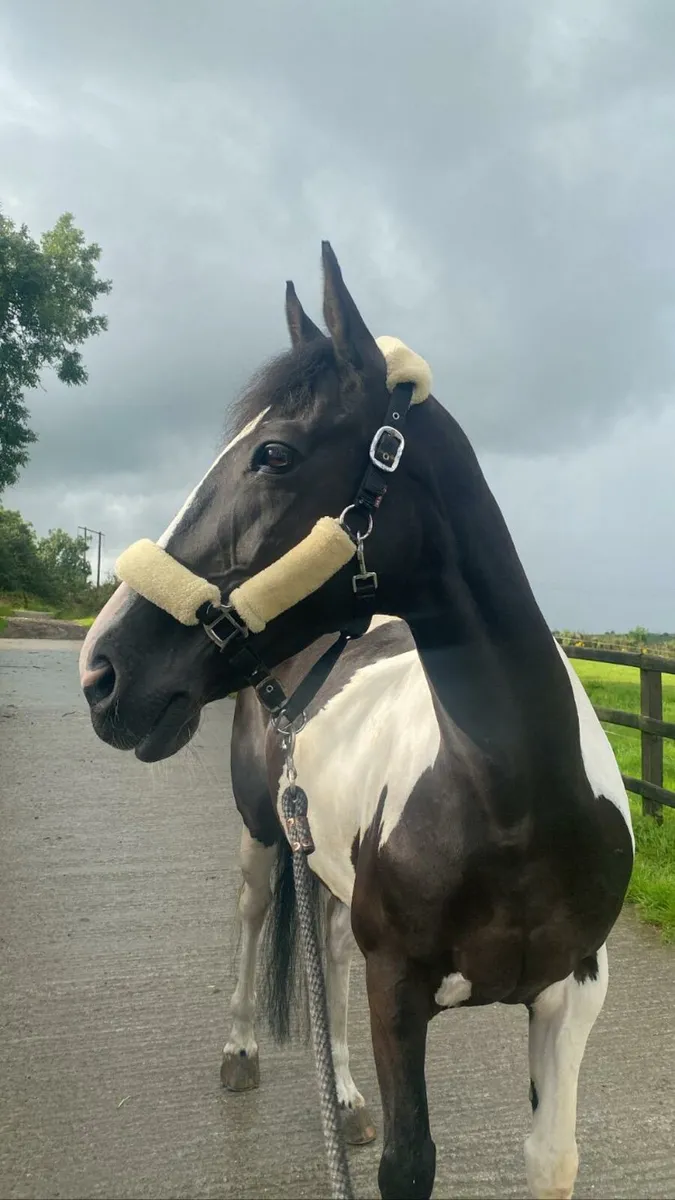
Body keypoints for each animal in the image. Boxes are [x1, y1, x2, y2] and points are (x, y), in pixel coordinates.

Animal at [79, 243, 634, 1200]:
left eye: (273, 453)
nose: (103, 671)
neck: (514, 805)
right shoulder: (398, 989)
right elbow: (408, 1165)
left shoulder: (573, 994)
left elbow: (551, 1160)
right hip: (263, 833)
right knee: (253, 913)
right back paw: (240, 1053)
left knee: (329, 952)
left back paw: (342, 1099)